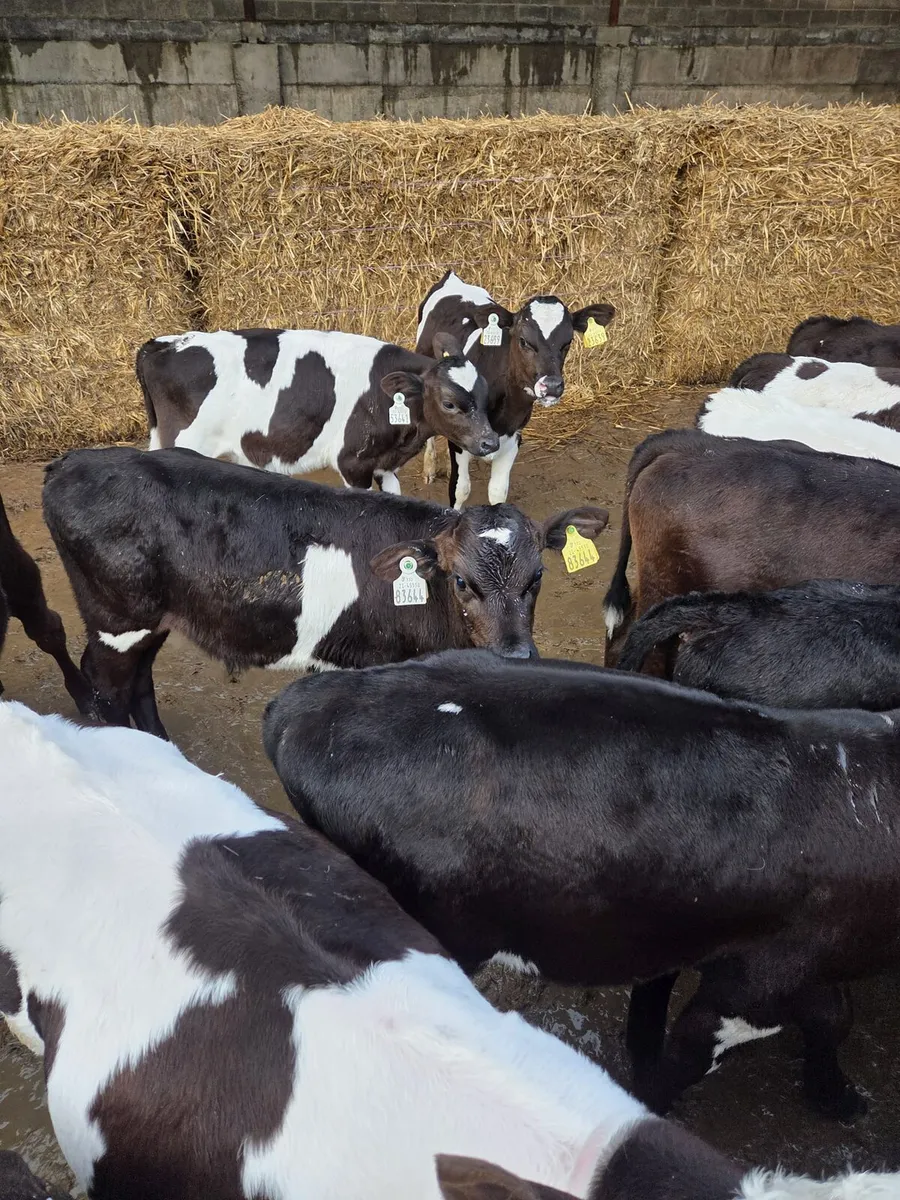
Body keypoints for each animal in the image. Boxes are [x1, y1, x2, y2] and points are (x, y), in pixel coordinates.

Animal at [42, 446, 608, 739]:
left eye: (537, 578)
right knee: (108, 686)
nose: (516, 655)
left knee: (139, 681)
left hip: (152, 617)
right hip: (117, 618)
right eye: (463, 581)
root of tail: (72, 461)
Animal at [137, 328, 499, 493]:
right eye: (449, 403)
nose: (490, 442)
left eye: (485, 394)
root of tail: (165, 343)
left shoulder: (384, 464)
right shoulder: (353, 464)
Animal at [414, 271, 615, 508]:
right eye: (524, 341)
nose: (551, 386)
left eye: (568, 342)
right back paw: (429, 468)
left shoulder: (513, 437)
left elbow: (498, 492)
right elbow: (460, 490)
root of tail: (453, 278)